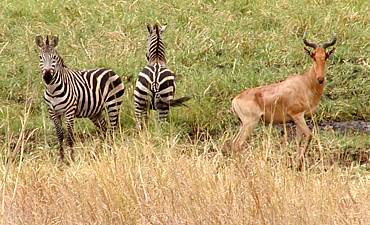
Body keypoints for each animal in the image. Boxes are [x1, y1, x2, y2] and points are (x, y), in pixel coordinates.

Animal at [233, 33, 336, 166]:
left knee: (233, 143)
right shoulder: (297, 115)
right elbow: (309, 136)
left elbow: (298, 140)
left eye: (326, 56)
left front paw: (297, 164)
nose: (320, 79)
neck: (305, 83)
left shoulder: (298, 118)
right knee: (238, 143)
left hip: (242, 124)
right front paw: (299, 164)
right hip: (250, 122)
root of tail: (235, 100)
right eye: (313, 56)